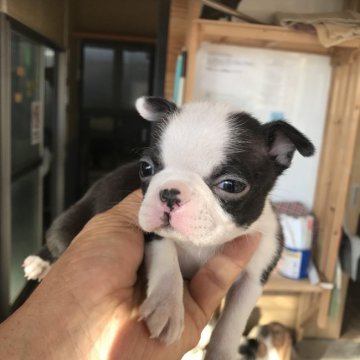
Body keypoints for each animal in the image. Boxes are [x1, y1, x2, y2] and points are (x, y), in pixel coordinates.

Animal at [23, 97, 316, 360]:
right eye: (146, 168)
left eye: (231, 185)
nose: (169, 192)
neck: (203, 244)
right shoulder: (148, 228)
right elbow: (166, 257)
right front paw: (167, 305)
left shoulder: (255, 274)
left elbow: (233, 321)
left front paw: (221, 352)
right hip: (70, 223)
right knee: (57, 239)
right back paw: (40, 262)